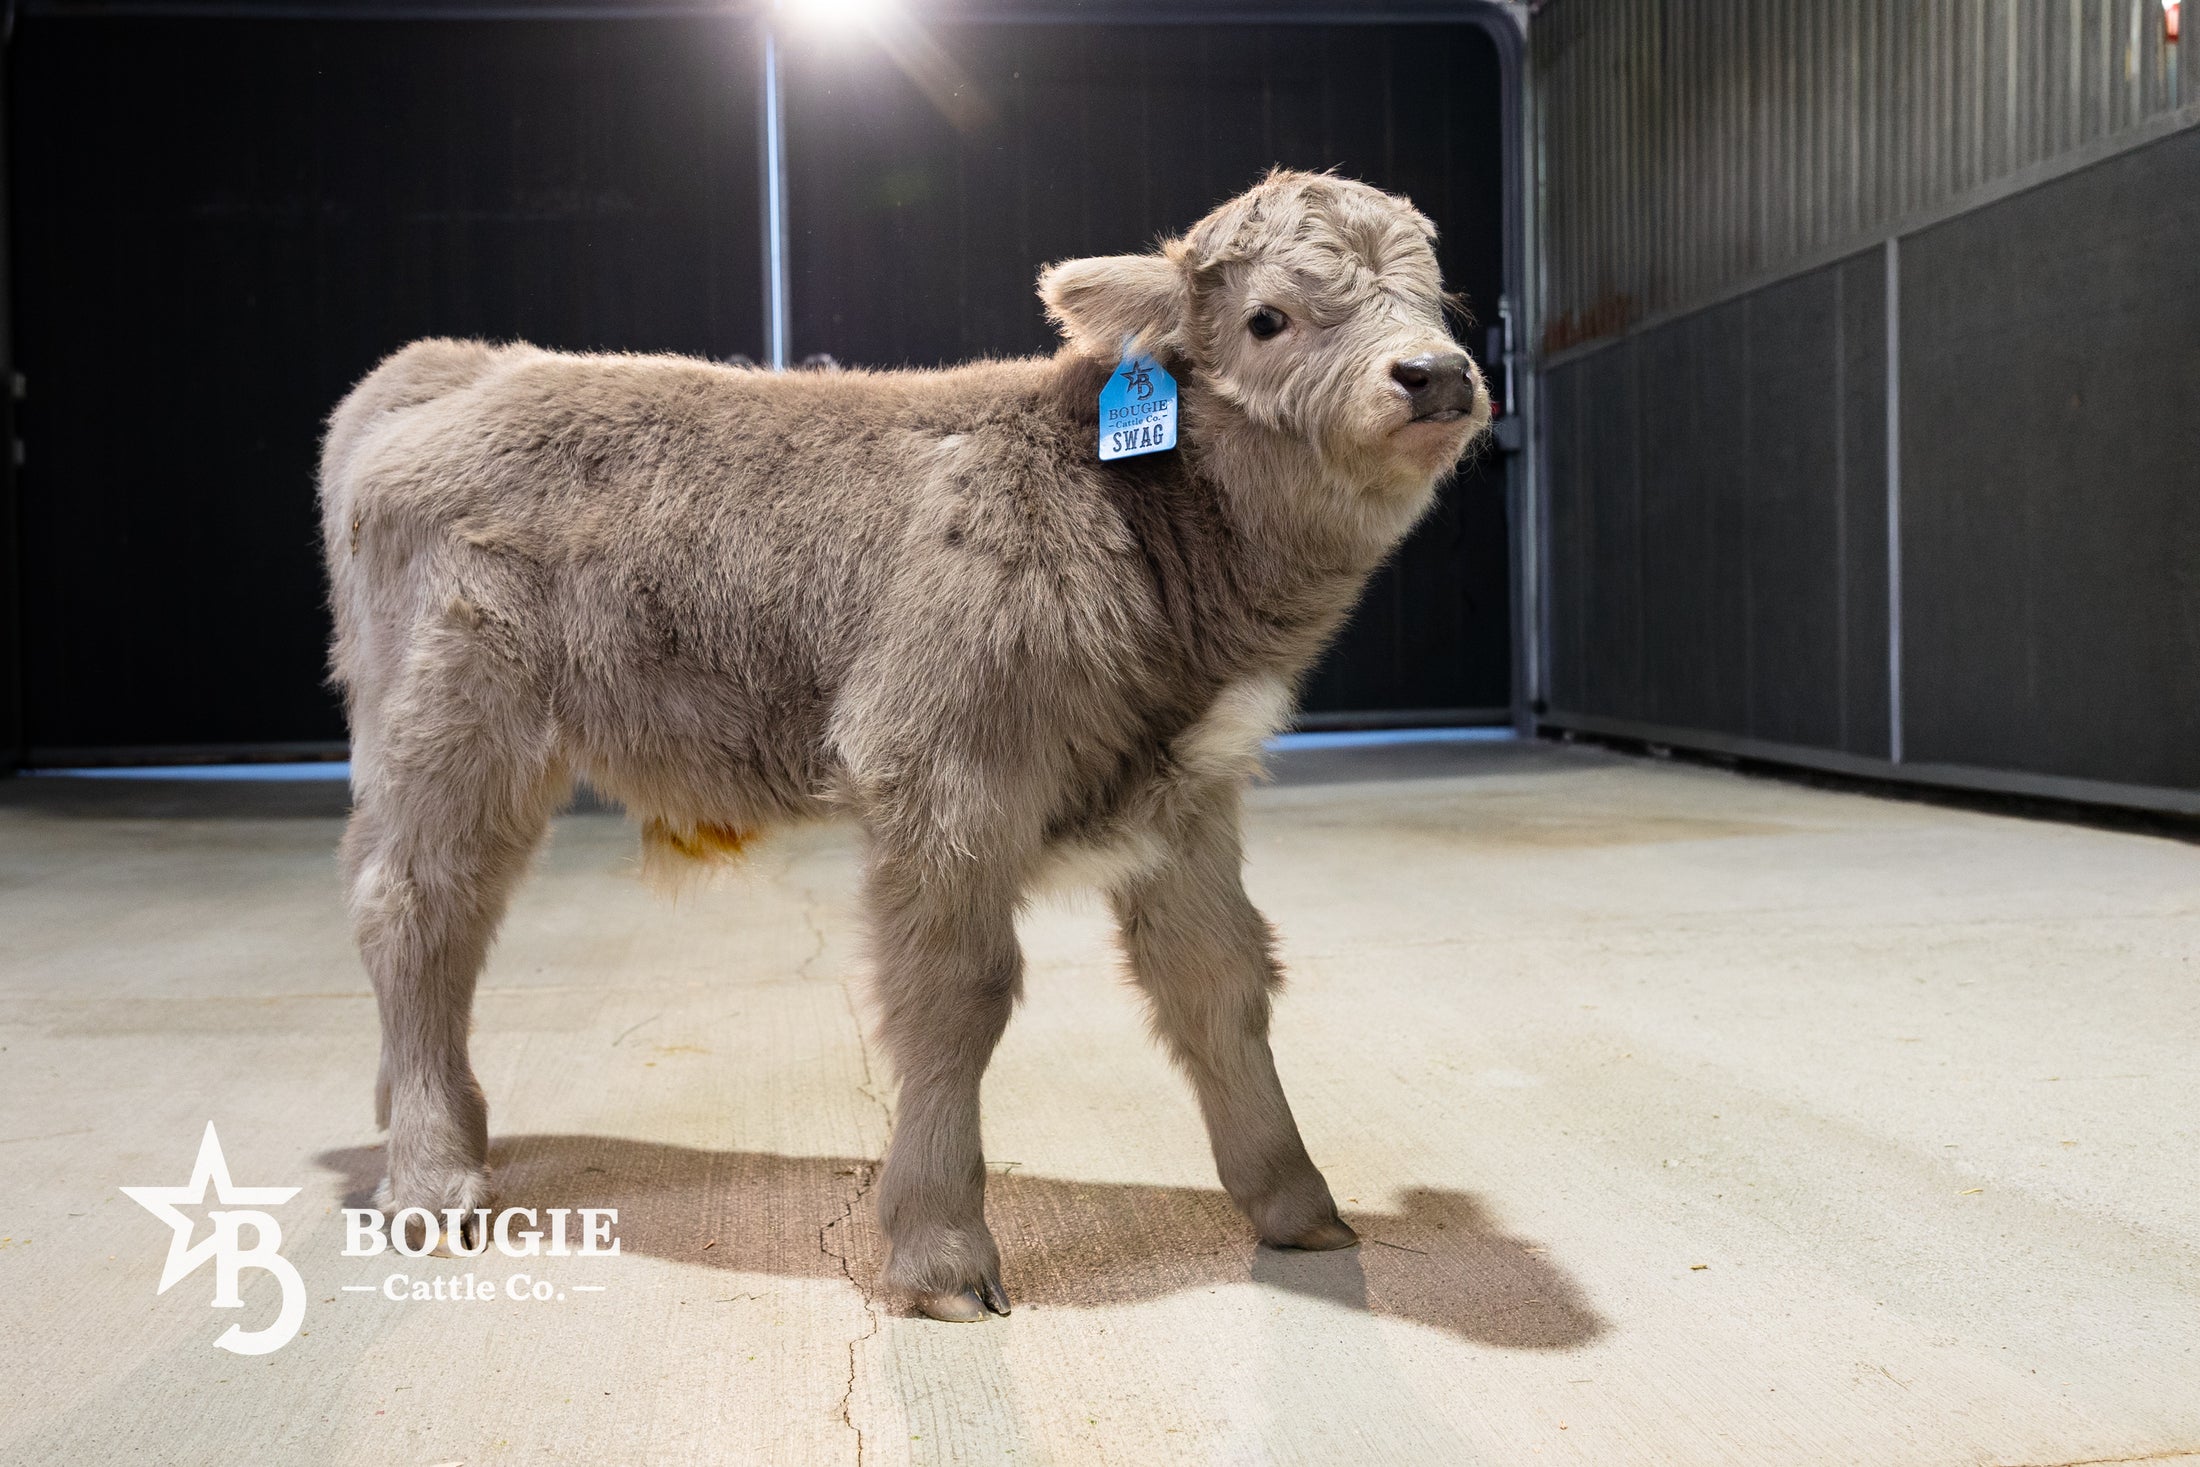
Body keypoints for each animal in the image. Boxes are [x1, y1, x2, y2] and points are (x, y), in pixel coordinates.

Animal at [319, 169, 1489, 1322]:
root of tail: (466, 366)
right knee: (416, 912)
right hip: (451, 722)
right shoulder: (941, 767)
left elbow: (1220, 978)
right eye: (1266, 319)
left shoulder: (1187, 793)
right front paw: (940, 1249)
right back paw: (432, 1179)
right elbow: (956, 992)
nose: (1432, 375)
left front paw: (1295, 1200)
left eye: (1440, 299)